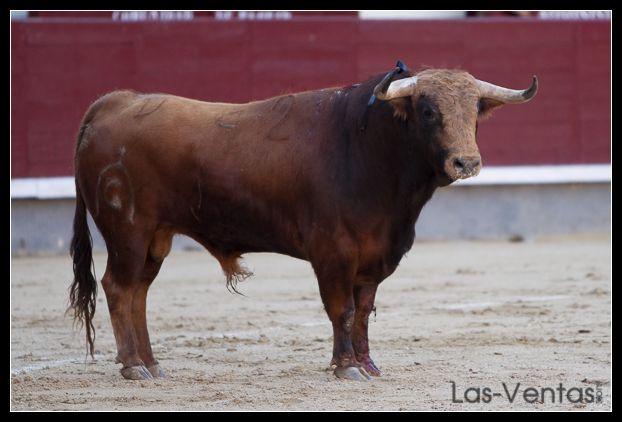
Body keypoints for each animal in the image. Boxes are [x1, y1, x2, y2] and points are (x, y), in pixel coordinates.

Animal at [69, 61, 537, 381]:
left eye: (475, 110)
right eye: (426, 110)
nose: (466, 162)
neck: (366, 148)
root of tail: (116, 102)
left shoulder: (374, 256)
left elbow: (363, 311)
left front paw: (367, 364)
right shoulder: (333, 253)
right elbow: (341, 310)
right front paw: (346, 367)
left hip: (155, 239)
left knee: (139, 294)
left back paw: (152, 363)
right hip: (128, 233)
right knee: (119, 288)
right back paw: (133, 366)